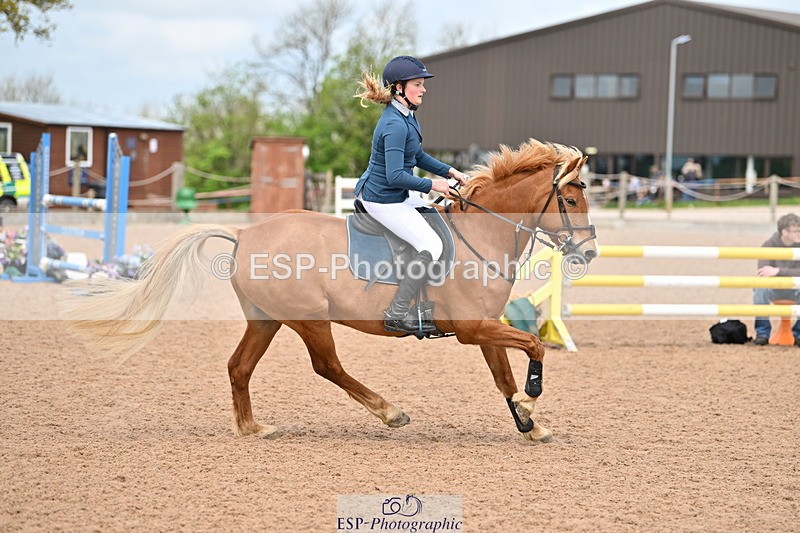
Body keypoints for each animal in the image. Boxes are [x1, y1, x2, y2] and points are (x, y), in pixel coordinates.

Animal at [61, 138, 597, 442]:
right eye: (571, 201)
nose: (588, 253)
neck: (482, 235)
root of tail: (245, 233)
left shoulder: (485, 328)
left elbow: (503, 378)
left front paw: (529, 424)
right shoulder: (472, 328)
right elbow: (533, 346)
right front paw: (532, 402)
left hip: (267, 318)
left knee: (239, 366)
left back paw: (252, 428)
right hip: (308, 318)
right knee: (328, 366)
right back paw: (390, 413)